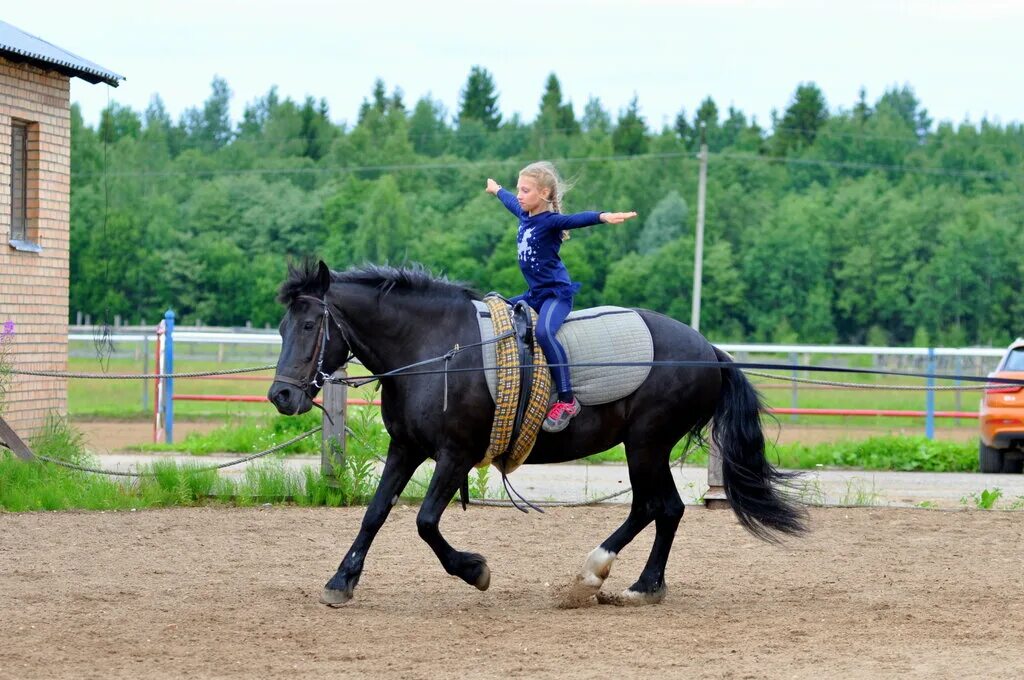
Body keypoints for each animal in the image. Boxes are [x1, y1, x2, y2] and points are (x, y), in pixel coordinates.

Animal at [268, 259, 802, 606]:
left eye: (311, 324)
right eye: (282, 327)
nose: (281, 396)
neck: (437, 351)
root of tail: (708, 350)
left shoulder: (455, 455)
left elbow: (425, 521)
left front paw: (474, 571)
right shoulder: (406, 449)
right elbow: (375, 514)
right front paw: (342, 580)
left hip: (646, 445)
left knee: (659, 507)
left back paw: (609, 577)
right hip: (646, 448)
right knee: (660, 508)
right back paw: (631, 581)